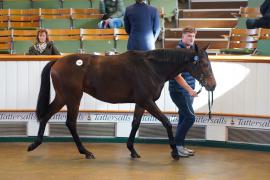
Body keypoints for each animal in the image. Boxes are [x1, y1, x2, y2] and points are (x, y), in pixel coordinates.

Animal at [27, 45, 216, 160]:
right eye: (204, 64)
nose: (213, 85)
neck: (152, 68)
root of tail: (58, 61)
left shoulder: (141, 103)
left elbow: (135, 123)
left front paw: (132, 150)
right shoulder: (147, 101)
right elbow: (167, 123)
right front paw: (175, 152)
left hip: (62, 97)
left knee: (46, 115)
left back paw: (35, 144)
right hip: (73, 98)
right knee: (70, 123)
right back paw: (85, 152)